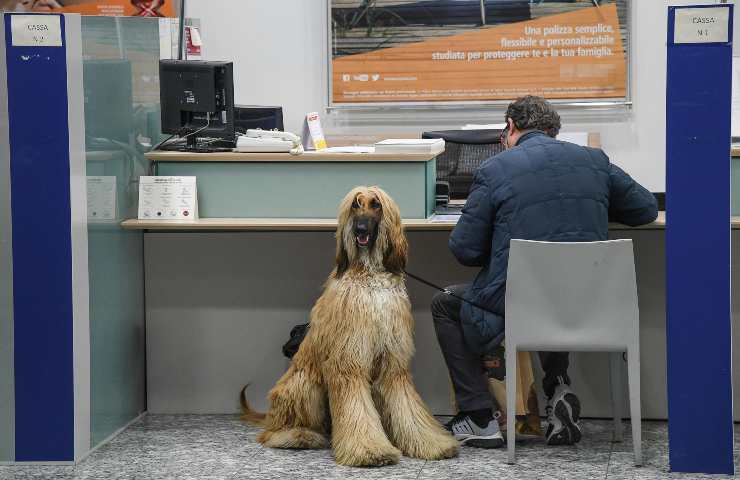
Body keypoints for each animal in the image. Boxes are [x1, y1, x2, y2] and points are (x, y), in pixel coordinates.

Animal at [243, 186, 460, 466]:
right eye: (355, 206)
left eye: (376, 204)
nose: (360, 230)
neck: (370, 274)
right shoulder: (348, 360)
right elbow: (356, 408)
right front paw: (369, 450)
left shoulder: (392, 362)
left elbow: (407, 407)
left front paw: (431, 443)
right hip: (303, 385)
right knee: (272, 433)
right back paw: (299, 435)